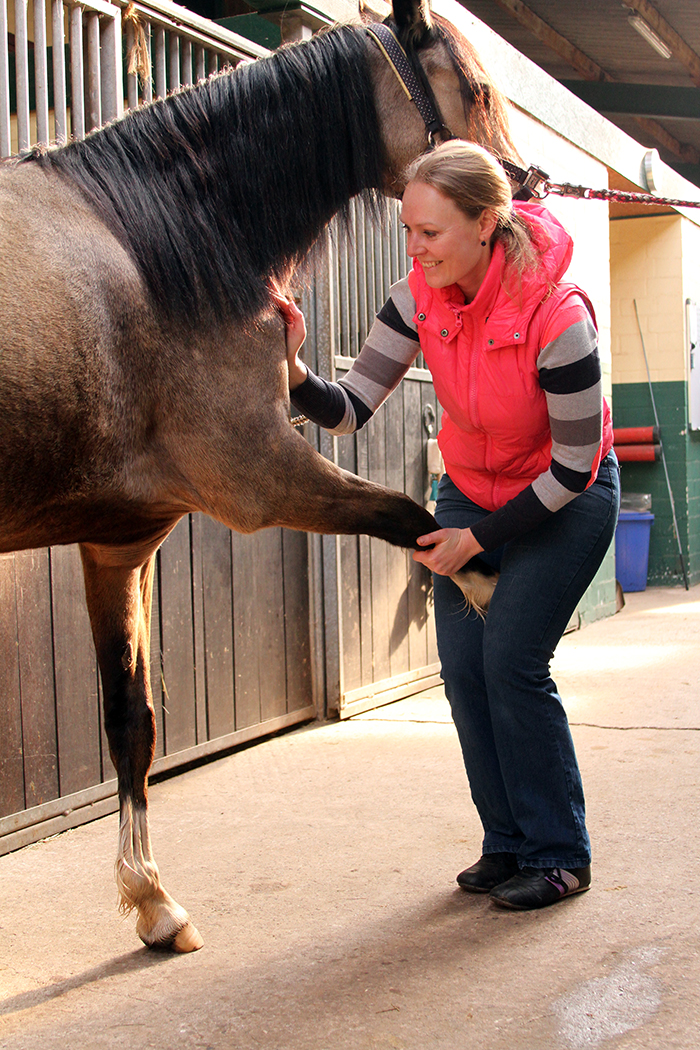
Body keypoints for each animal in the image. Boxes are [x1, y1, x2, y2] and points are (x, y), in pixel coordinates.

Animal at [0, 0, 514, 953]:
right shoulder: (262, 478)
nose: (519, 188)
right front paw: (494, 594)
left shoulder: (118, 544)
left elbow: (131, 718)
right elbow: (410, 517)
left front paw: (153, 901)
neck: (162, 244)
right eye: (474, 86)